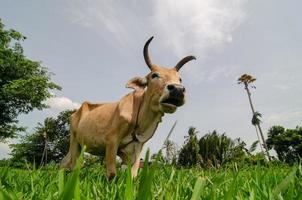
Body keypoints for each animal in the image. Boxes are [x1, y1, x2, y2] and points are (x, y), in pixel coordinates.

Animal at [60, 36, 197, 178]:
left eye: (180, 79)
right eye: (154, 75)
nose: (177, 89)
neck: (141, 121)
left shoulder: (138, 147)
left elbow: (133, 174)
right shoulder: (111, 140)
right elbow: (112, 173)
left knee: (65, 163)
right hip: (74, 140)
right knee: (72, 164)